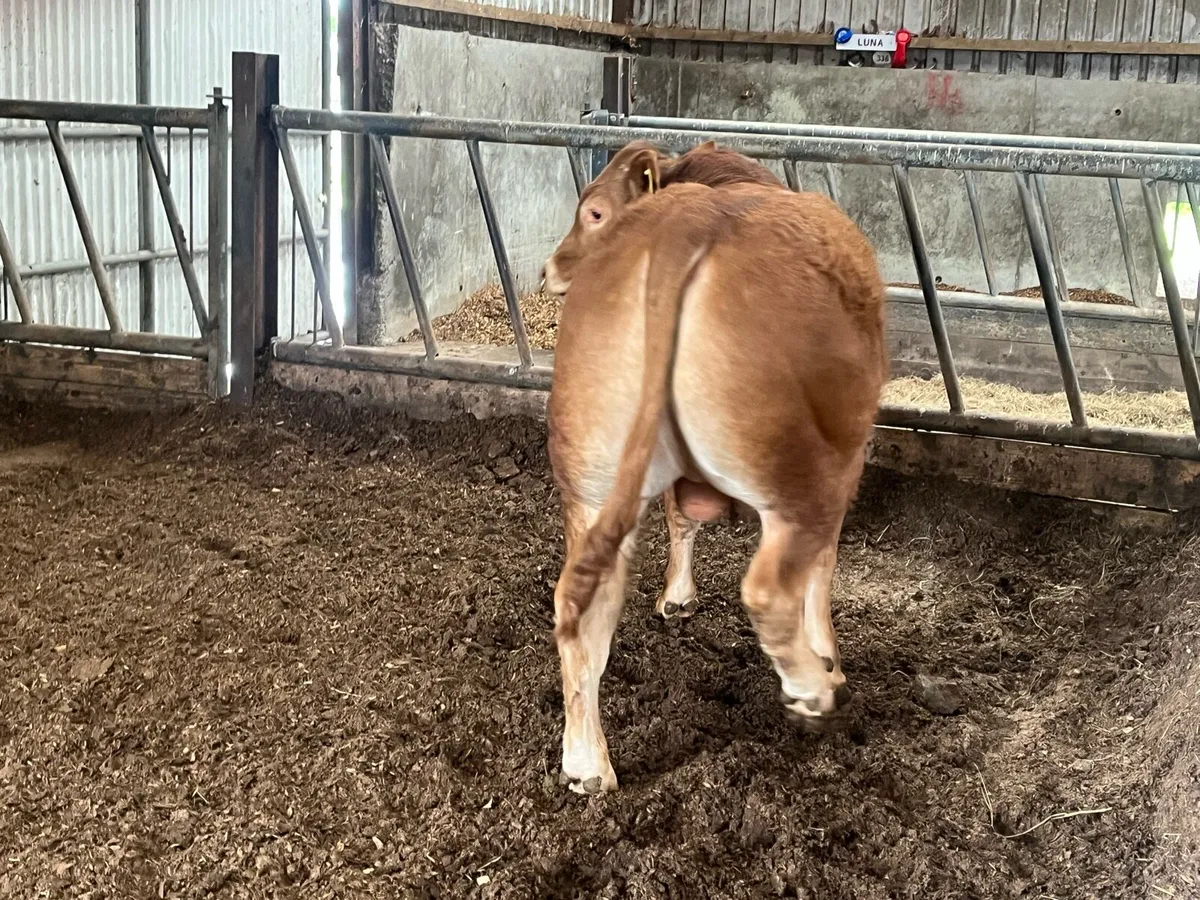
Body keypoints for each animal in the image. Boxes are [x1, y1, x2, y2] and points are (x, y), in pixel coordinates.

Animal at [541, 141, 887, 793]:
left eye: (593, 213)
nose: (545, 272)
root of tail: (687, 224)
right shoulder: (850, 455)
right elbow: (823, 569)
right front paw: (830, 659)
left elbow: (680, 520)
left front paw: (677, 598)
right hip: (799, 469)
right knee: (770, 586)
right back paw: (813, 688)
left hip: (593, 483)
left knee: (580, 614)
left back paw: (587, 765)